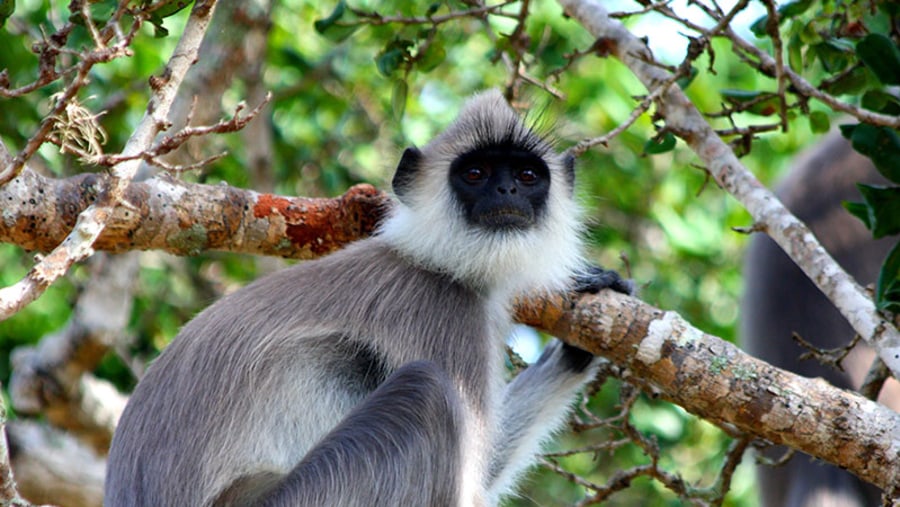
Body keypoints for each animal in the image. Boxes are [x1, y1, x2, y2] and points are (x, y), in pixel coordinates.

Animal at [105, 89, 628, 506]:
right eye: (476, 173)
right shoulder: (443, 313)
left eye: (527, 175)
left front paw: (581, 337)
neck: (431, 262)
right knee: (425, 392)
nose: (506, 189)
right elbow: (471, 485)